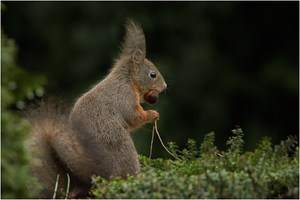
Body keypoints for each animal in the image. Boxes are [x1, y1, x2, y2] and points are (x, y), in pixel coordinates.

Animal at [27, 19, 168, 198]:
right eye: (152, 74)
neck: (127, 80)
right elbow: (133, 117)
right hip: (121, 147)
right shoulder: (123, 97)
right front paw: (153, 114)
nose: (165, 87)